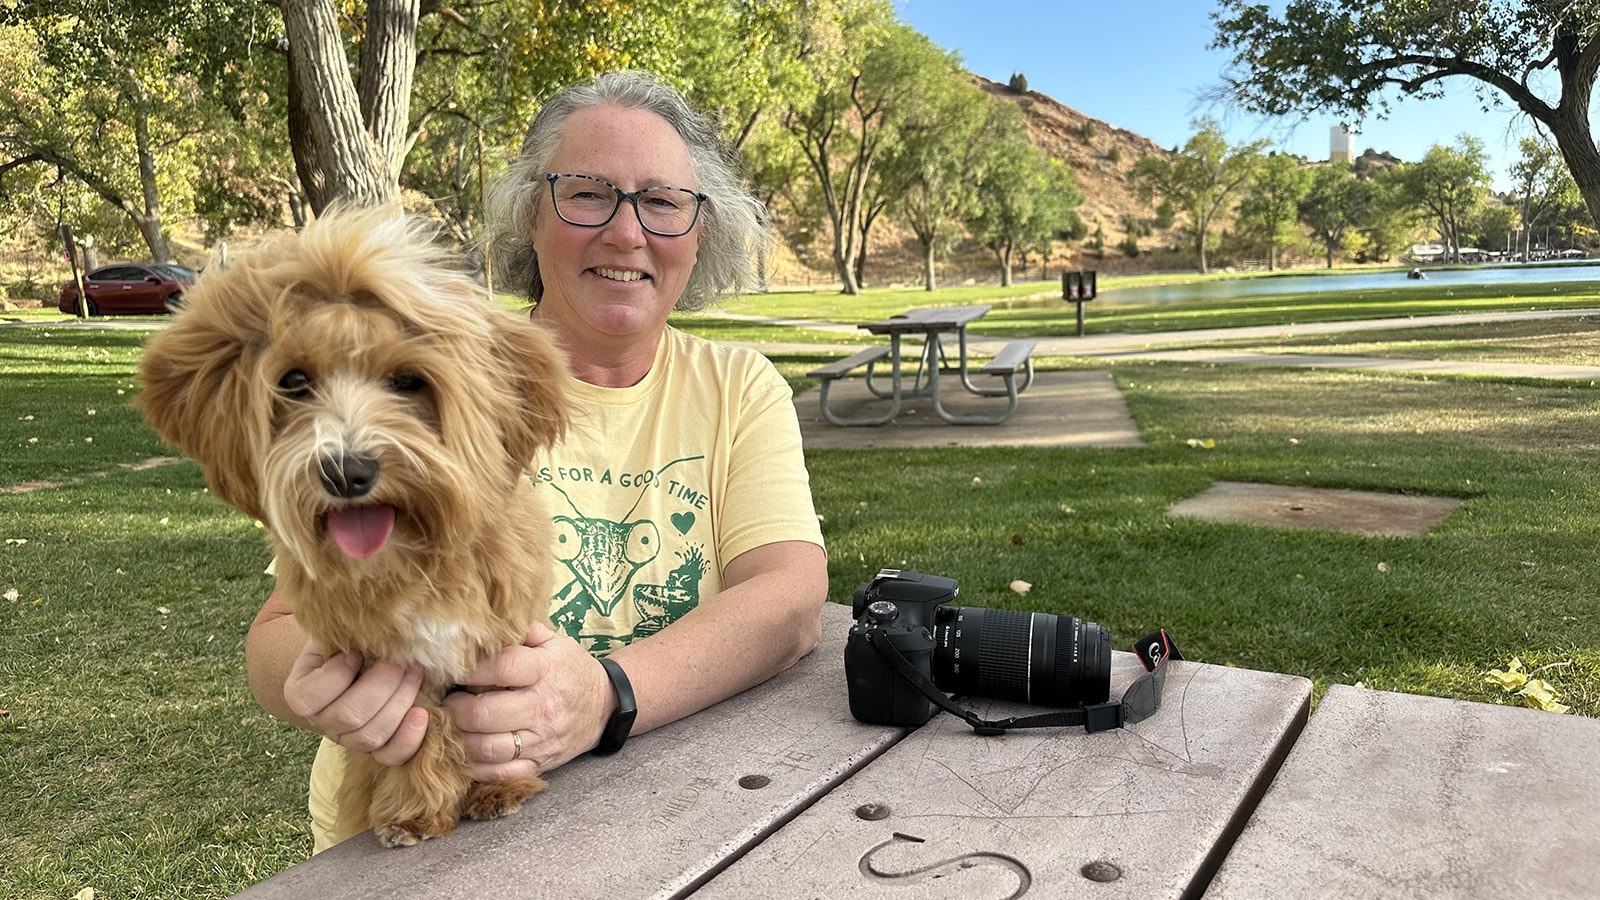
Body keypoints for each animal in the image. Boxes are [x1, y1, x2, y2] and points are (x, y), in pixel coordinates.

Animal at [137, 206, 572, 845]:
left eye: (407, 380)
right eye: (294, 382)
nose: (345, 470)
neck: (416, 559)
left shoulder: (499, 643)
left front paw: (501, 787)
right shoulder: (391, 665)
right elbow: (420, 733)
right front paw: (415, 810)